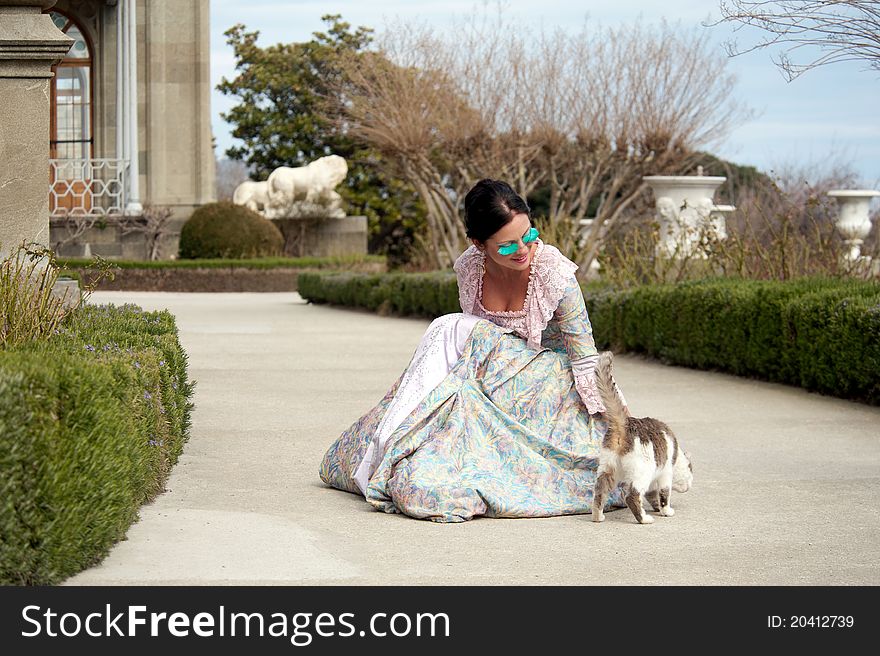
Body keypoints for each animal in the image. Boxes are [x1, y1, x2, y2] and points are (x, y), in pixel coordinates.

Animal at [592, 352, 696, 524]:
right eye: (691, 470)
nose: (691, 484)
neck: (675, 452)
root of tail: (624, 423)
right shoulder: (665, 472)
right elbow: (664, 494)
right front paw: (666, 511)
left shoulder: (654, 481)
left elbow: (653, 495)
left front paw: (657, 508)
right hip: (642, 471)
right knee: (632, 496)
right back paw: (644, 519)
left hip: (607, 468)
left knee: (600, 490)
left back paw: (598, 516)